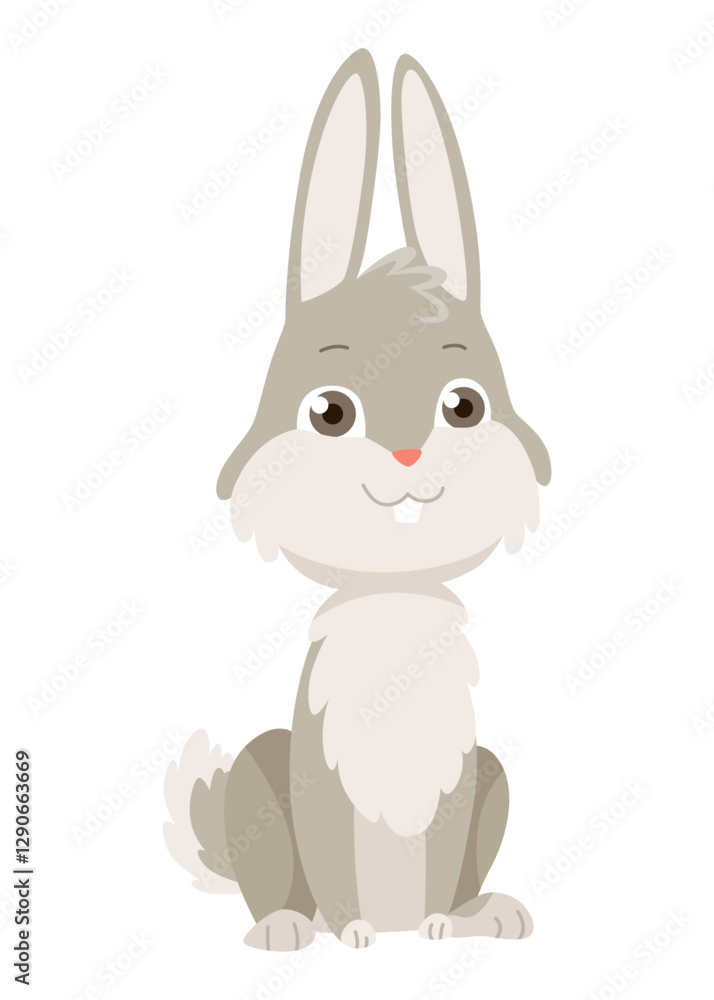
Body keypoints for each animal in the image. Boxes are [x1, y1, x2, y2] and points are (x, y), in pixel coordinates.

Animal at [164, 49, 550, 951]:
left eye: (463, 405)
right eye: (330, 412)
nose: (408, 457)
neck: (393, 600)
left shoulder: (454, 781)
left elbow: (440, 856)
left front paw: (440, 923)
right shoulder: (322, 782)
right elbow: (337, 871)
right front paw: (354, 936)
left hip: (494, 774)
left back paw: (480, 915)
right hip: (260, 772)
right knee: (275, 882)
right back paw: (288, 927)